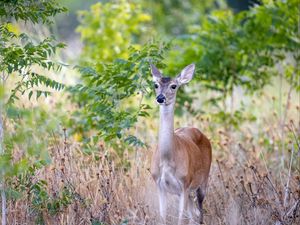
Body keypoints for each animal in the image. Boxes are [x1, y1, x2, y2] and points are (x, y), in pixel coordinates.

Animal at [149, 63, 211, 225]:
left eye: (174, 86)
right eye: (156, 84)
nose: (160, 98)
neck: (167, 159)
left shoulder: (184, 182)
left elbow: (180, 218)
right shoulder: (159, 184)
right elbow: (163, 216)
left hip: (203, 180)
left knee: (200, 211)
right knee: (193, 213)